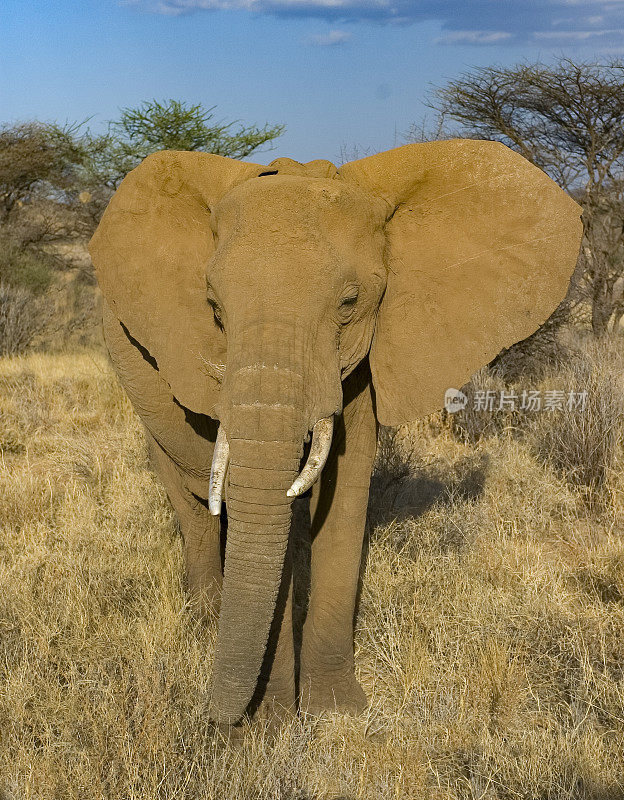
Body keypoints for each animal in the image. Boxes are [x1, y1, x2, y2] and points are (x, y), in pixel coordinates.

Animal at [89, 141, 584, 728]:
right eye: (214, 310)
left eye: (350, 303)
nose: (210, 717)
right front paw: (272, 722)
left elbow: (346, 483)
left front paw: (335, 712)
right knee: (193, 503)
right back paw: (205, 619)